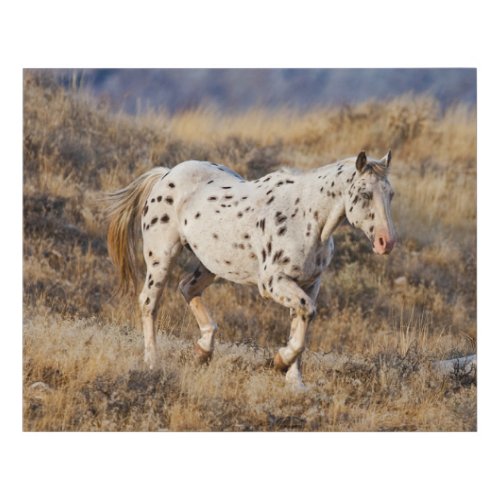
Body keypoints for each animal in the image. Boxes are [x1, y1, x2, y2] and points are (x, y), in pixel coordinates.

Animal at [107, 150, 396, 388]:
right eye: (365, 194)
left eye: (390, 194)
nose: (387, 242)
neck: (306, 217)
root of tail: (166, 174)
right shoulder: (273, 282)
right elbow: (305, 316)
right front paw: (280, 361)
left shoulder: (310, 284)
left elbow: (301, 323)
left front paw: (295, 382)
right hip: (161, 257)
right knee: (149, 303)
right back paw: (153, 362)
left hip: (211, 263)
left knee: (187, 288)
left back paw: (203, 350)